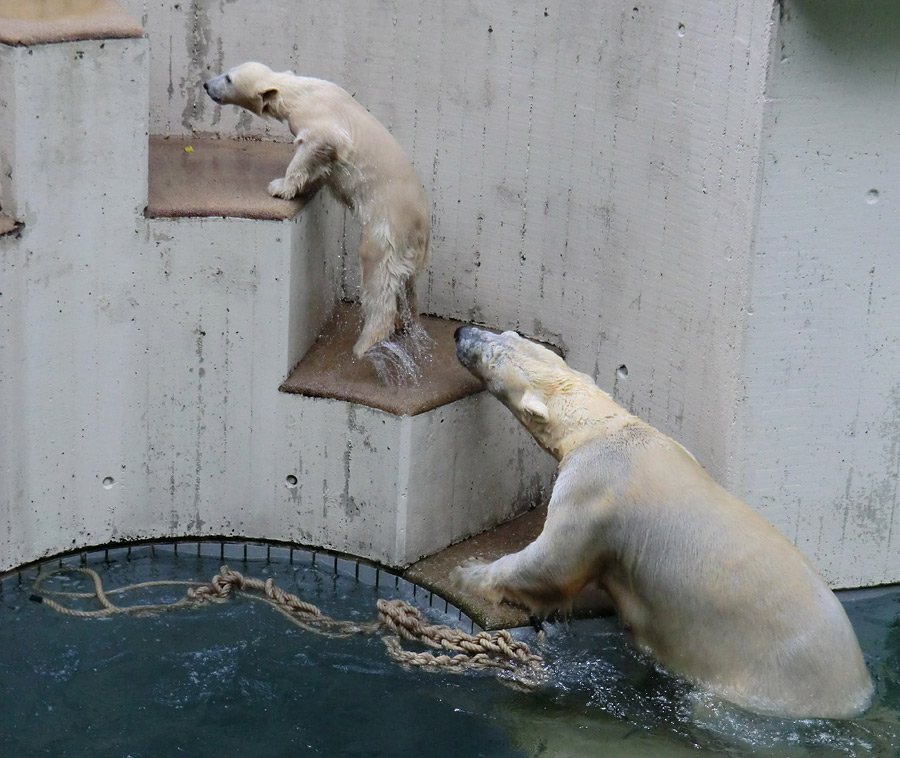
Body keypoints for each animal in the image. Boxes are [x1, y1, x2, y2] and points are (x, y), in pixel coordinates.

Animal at [206, 62, 430, 360]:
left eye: (229, 78)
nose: (206, 84)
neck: (300, 91)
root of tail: (421, 227)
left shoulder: (321, 122)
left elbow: (316, 145)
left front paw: (279, 186)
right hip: (408, 246)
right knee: (407, 284)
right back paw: (406, 323)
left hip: (387, 225)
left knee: (377, 271)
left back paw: (367, 342)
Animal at [454, 326, 876, 720]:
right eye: (507, 334)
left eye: (493, 354)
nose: (461, 333)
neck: (605, 428)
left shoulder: (594, 488)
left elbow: (552, 564)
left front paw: (470, 572)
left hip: (766, 677)